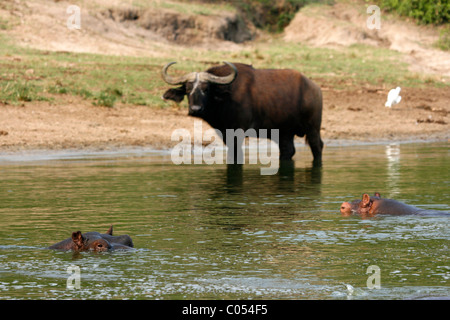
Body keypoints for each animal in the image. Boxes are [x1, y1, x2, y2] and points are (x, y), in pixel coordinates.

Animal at [162, 61, 324, 166]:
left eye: (206, 89)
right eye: (188, 89)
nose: (195, 109)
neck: (226, 98)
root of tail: (314, 87)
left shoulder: (237, 134)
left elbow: (235, 157)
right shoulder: (225, 133)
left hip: (313, 129)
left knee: (317, 147)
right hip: (285, 133)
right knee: (288, 151)